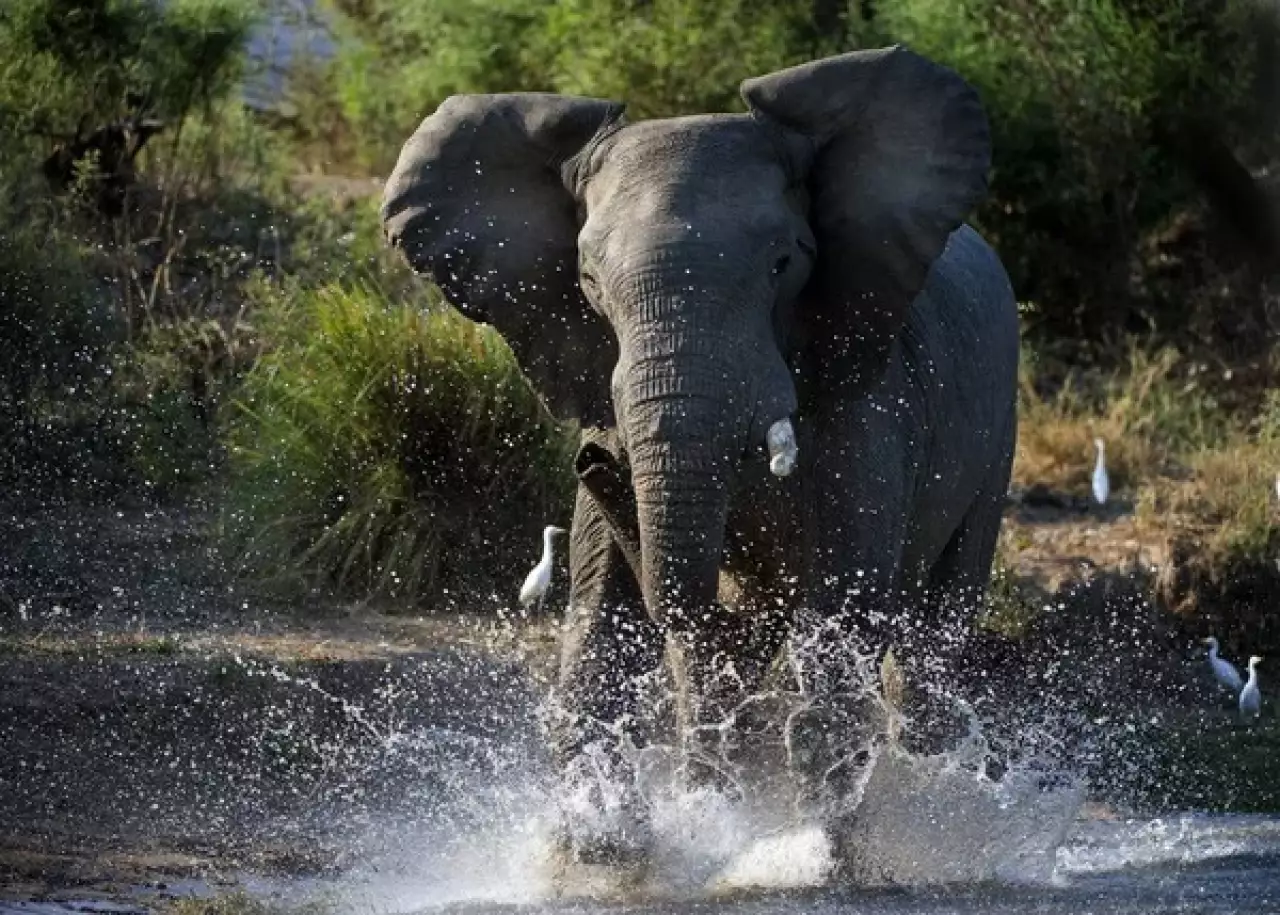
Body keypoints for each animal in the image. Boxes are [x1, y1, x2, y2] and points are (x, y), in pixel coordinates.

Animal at [381, 46, 1020, 865]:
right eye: (588, 281)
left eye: (784, 263)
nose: (592, 462)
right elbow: (602, 628)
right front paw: (605, 851)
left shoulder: (869, 405)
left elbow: (840, 617)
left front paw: (816, 859)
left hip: (998, 426)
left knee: (932, 642)